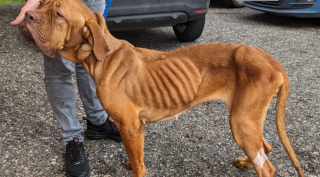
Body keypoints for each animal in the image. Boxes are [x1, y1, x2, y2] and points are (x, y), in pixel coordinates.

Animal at [20, 0, 304, 176]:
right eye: (42, 4)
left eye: (59, 14)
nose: (28, 15)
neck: (103, 55)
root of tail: (271, 61)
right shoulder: (137, 125)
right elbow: (137, 156)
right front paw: (130, 161)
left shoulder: (129, 125)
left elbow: (139, 166)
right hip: (246, 119)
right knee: (265, 147)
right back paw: (245, 162)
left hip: (241, 120)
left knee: (266, 166)